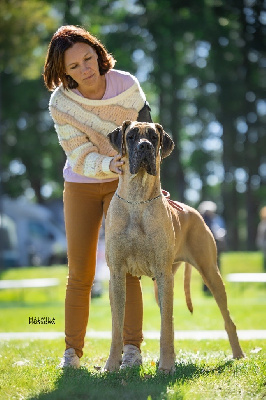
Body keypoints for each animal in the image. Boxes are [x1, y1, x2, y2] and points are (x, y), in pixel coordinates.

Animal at [104, 120, 245, 374]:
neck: (138, 200)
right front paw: (111, 366)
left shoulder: (163, 273)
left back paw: (238, 355)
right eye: (131, 136)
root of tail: (195, 211)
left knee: (227, 319)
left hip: (209, 273)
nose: (145, 146)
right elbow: (116, 326)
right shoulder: (117, 274)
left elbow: (166, 328)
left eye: (154, 137)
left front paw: (167, 366)